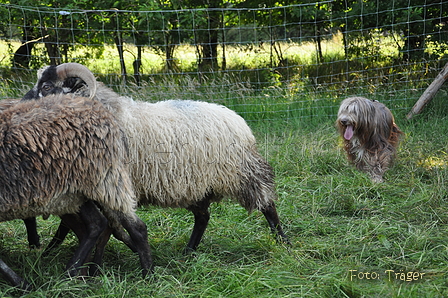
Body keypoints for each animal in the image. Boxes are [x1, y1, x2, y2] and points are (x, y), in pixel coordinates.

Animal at [0, 95, 152, 288]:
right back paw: (73, 272)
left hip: (105, 180)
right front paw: (22, 283)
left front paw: (22, 284)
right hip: (76, 192)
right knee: (97, 224)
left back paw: (148, 275)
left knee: (136, 226)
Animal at [22, 61, 290, 255]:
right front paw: (48, 250)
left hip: (240, 173)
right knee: (203, 217)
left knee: (267, 204)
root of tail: (238, 120)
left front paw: (48, 251)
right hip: (194, 184)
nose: (22, 104)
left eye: (47, 87)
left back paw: (282, 241)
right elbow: (73, 224)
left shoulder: (103, 184)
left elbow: (73, 224)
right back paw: (189, 251)